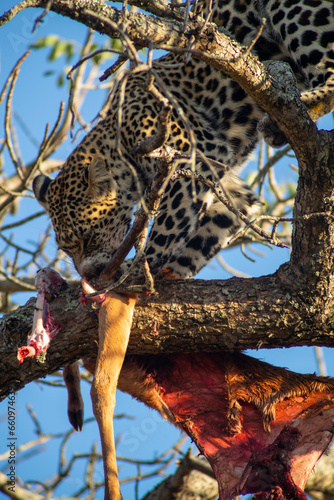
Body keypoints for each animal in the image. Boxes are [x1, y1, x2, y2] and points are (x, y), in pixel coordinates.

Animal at [32, 0, 334, 282]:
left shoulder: (193, 159)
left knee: (328, 74)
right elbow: (206, 235)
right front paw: (165, 273)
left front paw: (135, 270)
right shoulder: (229, 187)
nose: (86, 274)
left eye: (88, 237)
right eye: (67, 249)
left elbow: (166, 229)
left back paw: (291, 113)